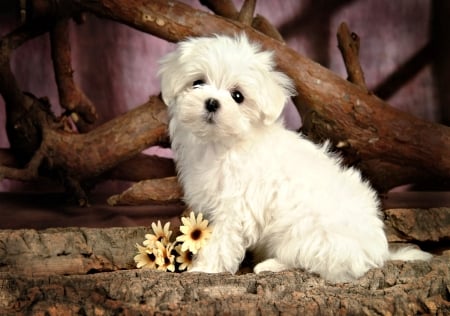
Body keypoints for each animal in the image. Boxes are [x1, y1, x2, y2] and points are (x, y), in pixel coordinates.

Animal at [157, 34, 428, 282]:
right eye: (197, 82)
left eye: (238, 96)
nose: (212, 102)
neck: (222, 144)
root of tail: (377, 254)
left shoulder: (236, 205)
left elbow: (222, 239)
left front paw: (204, 268)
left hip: (308, 232)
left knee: (309, 260)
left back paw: (270, 265)